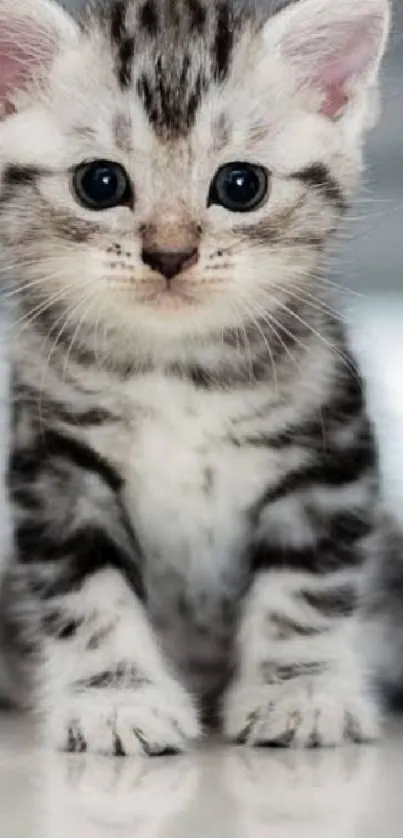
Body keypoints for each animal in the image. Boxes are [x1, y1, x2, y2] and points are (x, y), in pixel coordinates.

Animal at [0, 0, 394, 756]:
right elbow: (89, 592)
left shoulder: (327, 449)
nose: (169, 254)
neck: (176, 368)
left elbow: (304, 589)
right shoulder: (55, 460)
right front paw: (118, 700)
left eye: (240, 186)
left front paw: (297, 693)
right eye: (100, 183)